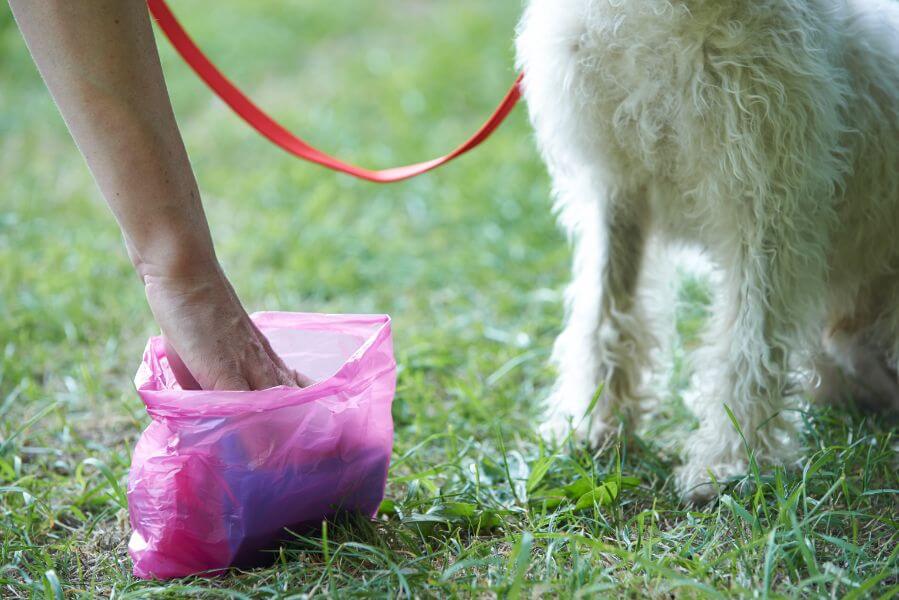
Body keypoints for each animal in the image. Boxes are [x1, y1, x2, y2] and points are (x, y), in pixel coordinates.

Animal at [512, 0, 899, 502]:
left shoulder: (769, 202)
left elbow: (750, 342)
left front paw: (730, 461)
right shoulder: (616, 189)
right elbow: (604, 314)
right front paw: (592, 423)